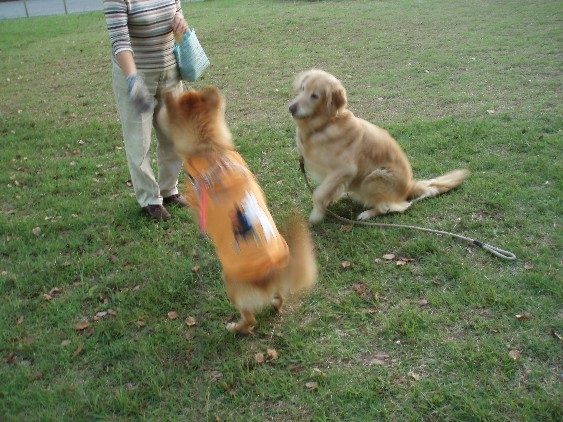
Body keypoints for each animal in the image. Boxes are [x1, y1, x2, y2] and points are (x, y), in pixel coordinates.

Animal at [158, 86, 317, 334]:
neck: (209, 146)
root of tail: (272, 273)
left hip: (230, 284)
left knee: (250, 319)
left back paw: (235, 327)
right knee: (280, 298)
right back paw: (275, 305)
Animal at [289, 69, 470, 224]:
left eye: (315, 96)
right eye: (303, 89)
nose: (291, 108)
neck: (324, 125)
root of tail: (410, 186)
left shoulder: (344, 169)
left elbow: (318, 194)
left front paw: (316, 215)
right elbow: (328, 190)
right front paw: (329, 201)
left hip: (373, 177)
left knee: (394, 206)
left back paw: (367, 214)